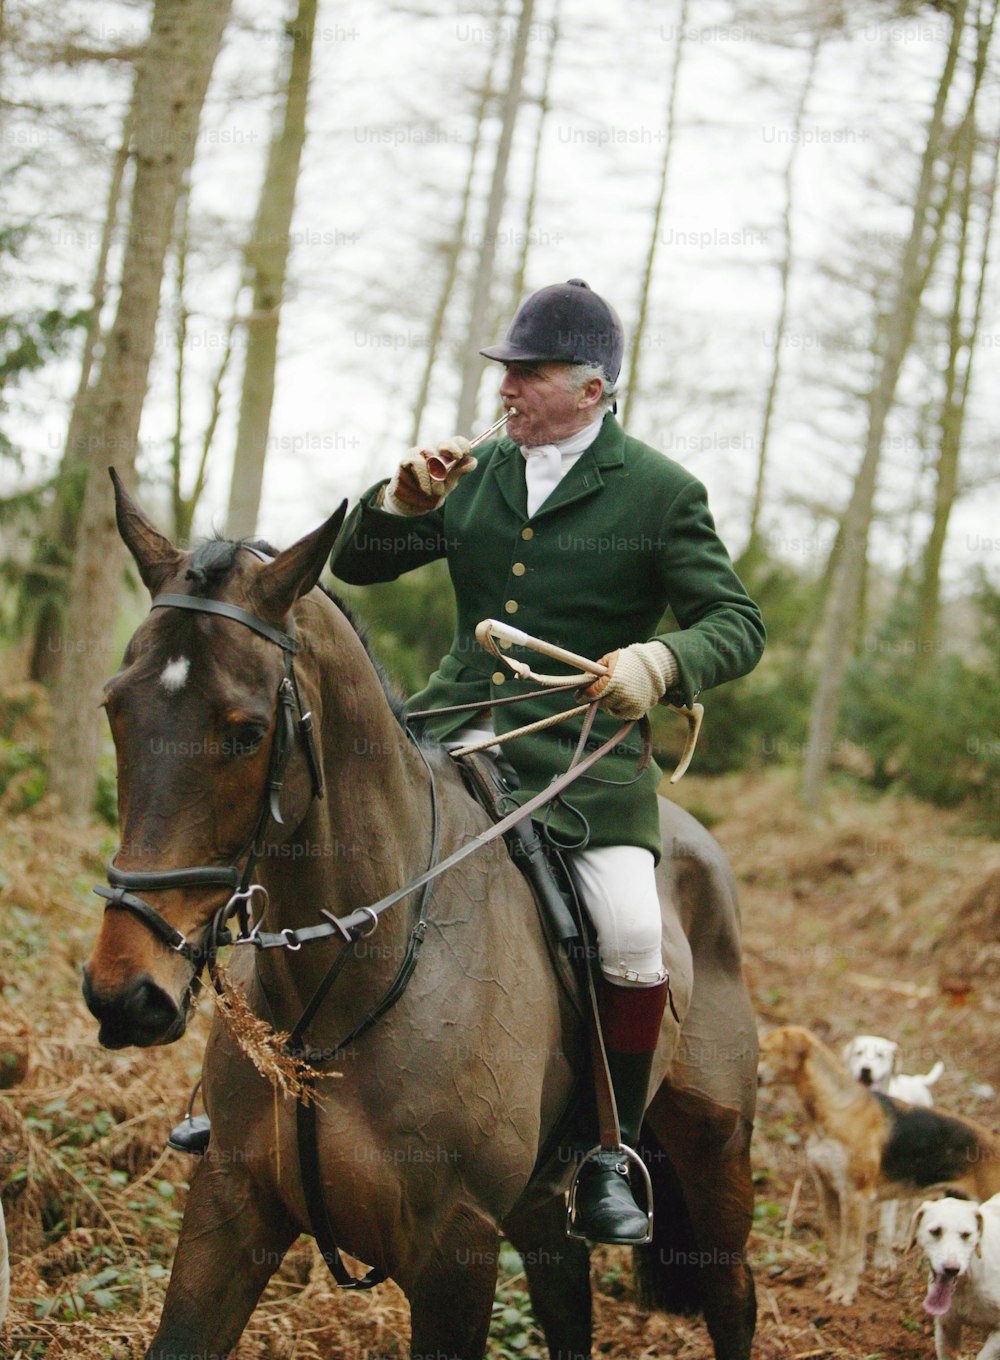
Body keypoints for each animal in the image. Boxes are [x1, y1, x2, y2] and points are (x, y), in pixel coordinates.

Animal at [86, 470, 756, 1360]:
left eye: (247, 732)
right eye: (114, 708)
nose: (124, 994)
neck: (351, 979)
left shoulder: (454, 1252)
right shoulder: (229, 1203)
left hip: (717, 1150)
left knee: (732, 1298)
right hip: (542, 1205)